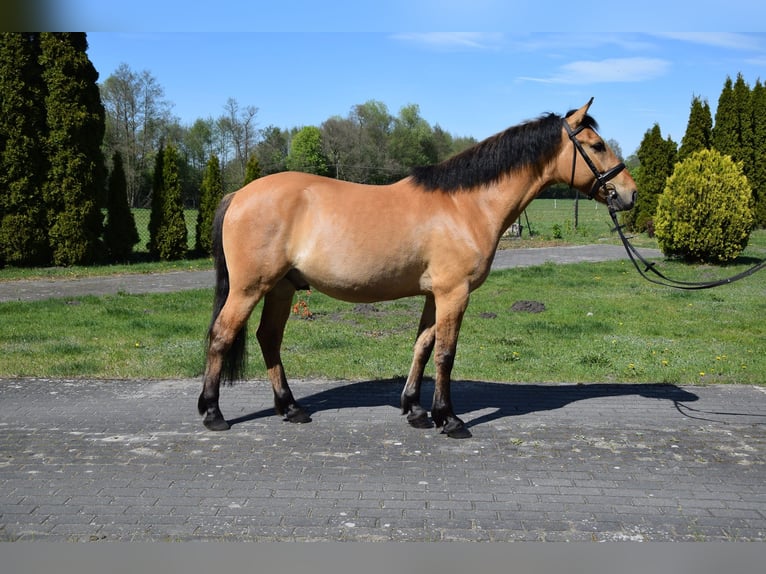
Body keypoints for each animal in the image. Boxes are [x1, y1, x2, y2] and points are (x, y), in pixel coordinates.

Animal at [198, 98, 637, 438]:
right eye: (597, 145)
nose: (629, 194)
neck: (465, 205)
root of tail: (239, 194)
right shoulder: (453, 293)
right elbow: (445, 354)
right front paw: (450, 418)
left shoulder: (433, 294)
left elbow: (422, 347)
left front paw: (414, 409)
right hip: (250, 287)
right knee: (222, 335)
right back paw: (213, 413)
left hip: (282, 287)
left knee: (268, 339)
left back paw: (290, 408)